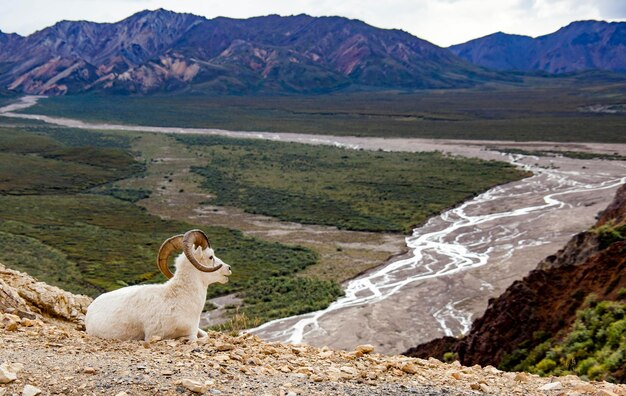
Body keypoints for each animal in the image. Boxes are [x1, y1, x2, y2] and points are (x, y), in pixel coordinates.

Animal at [83, 230, 229, 342]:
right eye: (210, 257)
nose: (228, 268)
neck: (179, 300)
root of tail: (91, 308)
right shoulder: (156, 335)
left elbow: (206, 335)